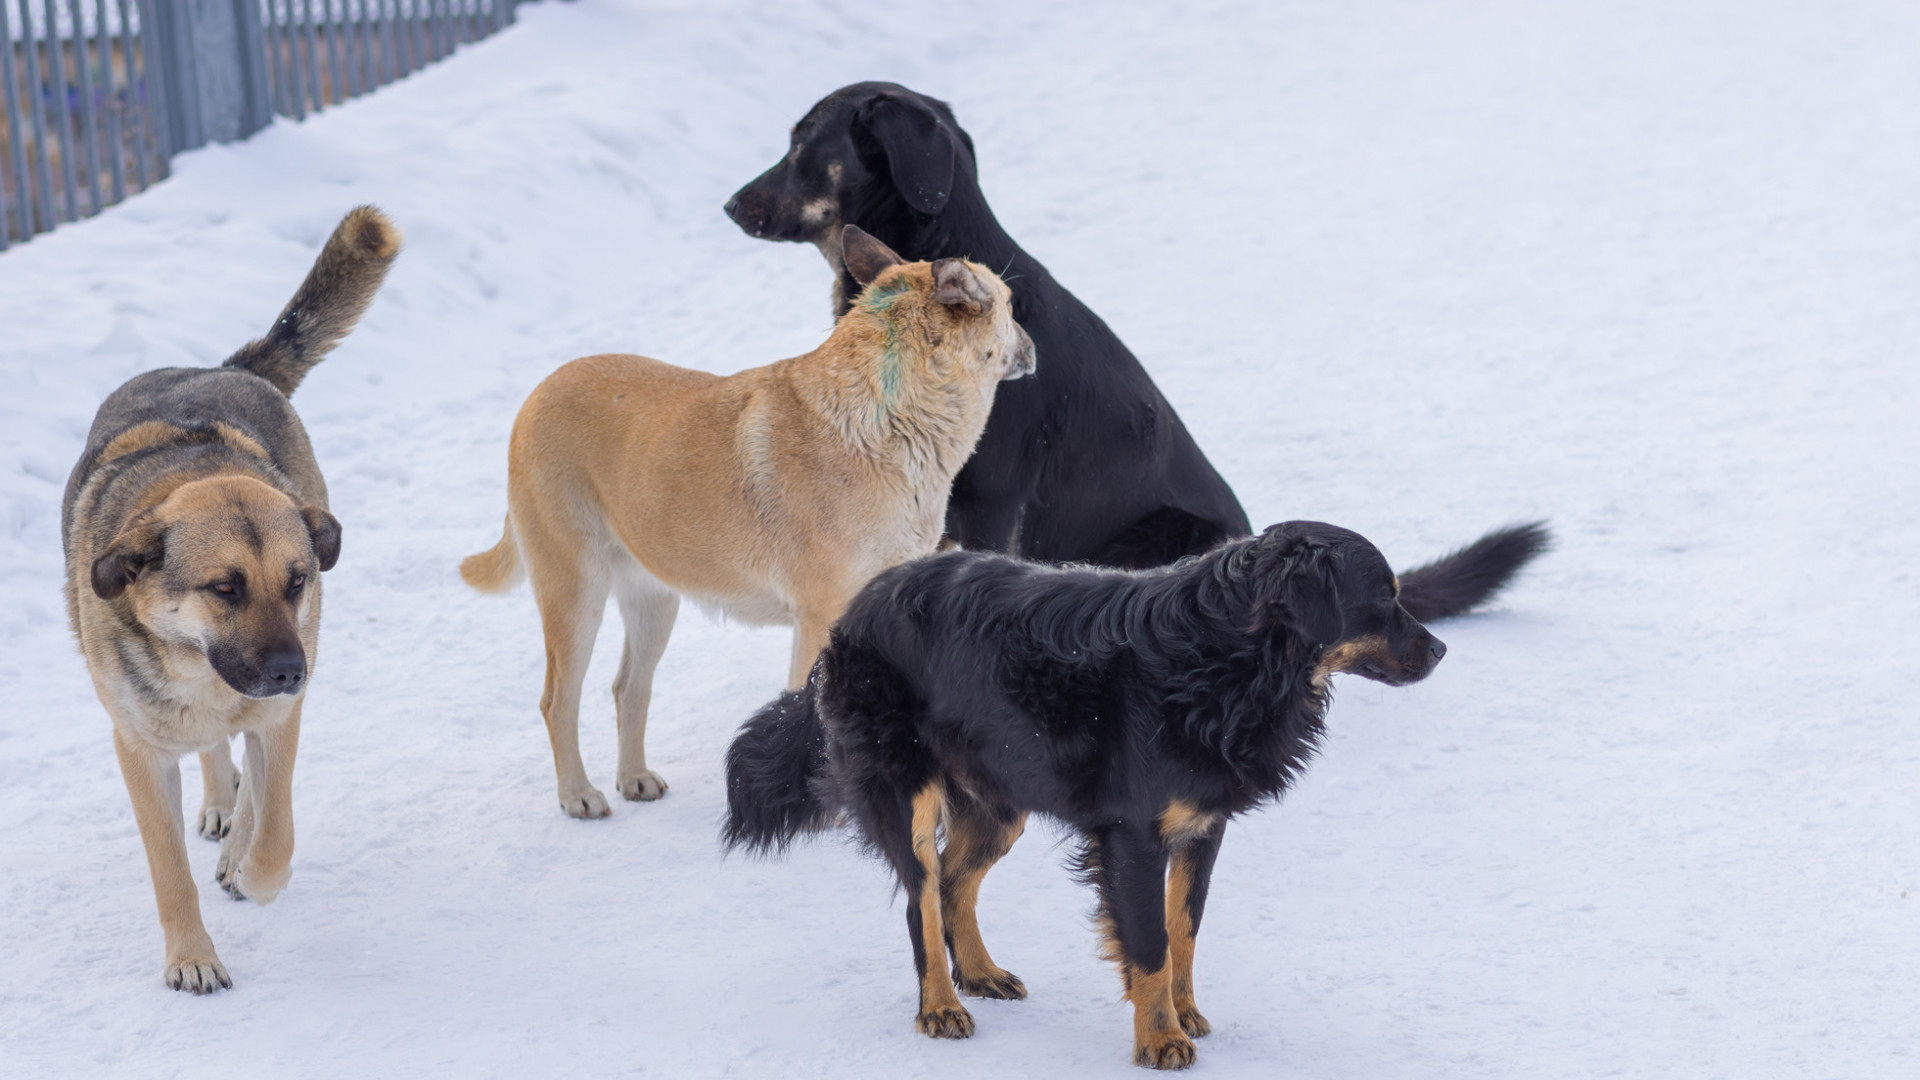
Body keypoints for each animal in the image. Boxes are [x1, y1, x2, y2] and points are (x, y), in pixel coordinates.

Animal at [61, 205, 399, 991]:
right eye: (225, 588)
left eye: (297, 579)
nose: (290, 670)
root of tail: (223, 368)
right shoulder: (140, 750)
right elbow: (168, 872)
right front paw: (191, 956)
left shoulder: (280, 716)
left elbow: (276, 827)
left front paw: (250, 871)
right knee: (216, 752)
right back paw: (219, 805)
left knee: (248, 769)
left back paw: (233, 836)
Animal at [464, 226, 1036, 814]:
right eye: (1010, 304)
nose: (1033, 345)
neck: (891, 417)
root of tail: (534, 398)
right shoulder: (819, 619)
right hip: (575, 593)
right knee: (558, 699)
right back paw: (578, 794)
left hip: (654, 599)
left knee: (629, 687)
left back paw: (634, 777)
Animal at [725, 518, 1551, 1060]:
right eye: (1381, 598)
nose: (1440, 649)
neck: (1230, 657)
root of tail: (859, 607)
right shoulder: (1132, 836)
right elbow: (1149, 940)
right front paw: (1159, 1040)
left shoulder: (1202, 828)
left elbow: (1183, 929)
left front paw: (1182, 1014)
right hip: (910, 789)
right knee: (921, 899)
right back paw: (940, 1006)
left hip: (1002, 797)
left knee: (957, 882)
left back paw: (981, 973)